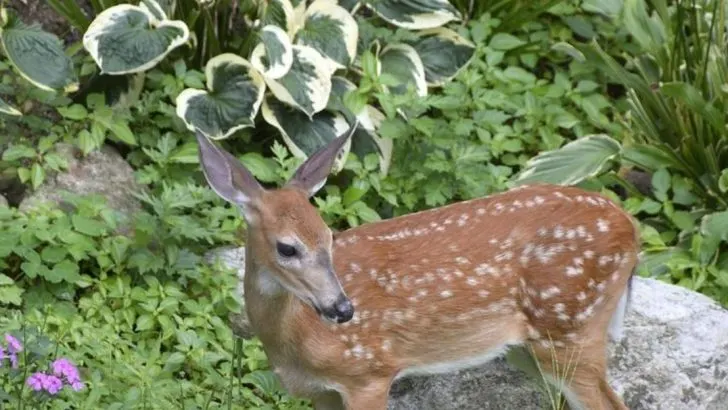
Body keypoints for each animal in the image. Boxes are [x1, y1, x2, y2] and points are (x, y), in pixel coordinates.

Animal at [196, 124, 640, 410]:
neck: (295, 340)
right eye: (287, 248)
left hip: (569, 325)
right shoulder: (322, 391)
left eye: (329, 236)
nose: (343, 309)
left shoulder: (369, 372)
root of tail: (630, 229)